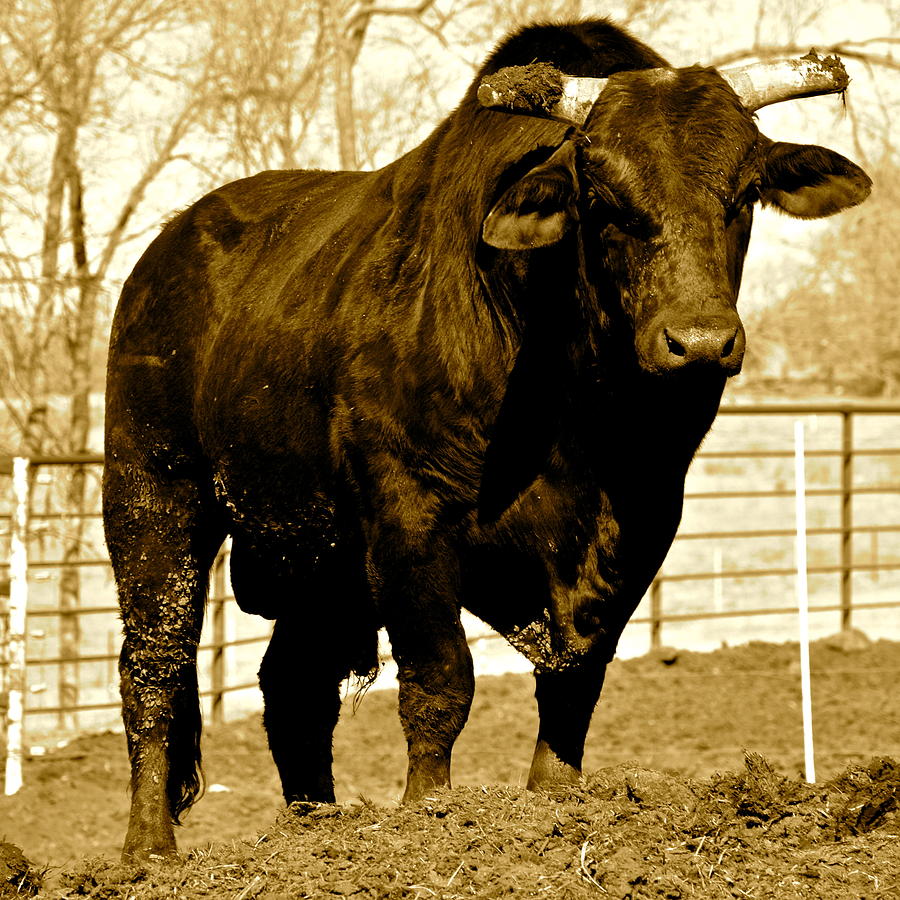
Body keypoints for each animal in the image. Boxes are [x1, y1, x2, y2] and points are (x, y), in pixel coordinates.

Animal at [105, 17, 872, 860]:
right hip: (153, 491)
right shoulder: (409, 517)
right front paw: (429, 812)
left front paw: (556, 802)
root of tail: (171, 246)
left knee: (294, 685)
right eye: (603, 198)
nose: (699, 342)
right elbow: (443, 679)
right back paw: (147, 847)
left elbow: (576, 678)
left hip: (320, 551)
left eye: (744, 193)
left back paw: (315, 827)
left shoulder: (642, 522)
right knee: (155, 663)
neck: (579, 413)